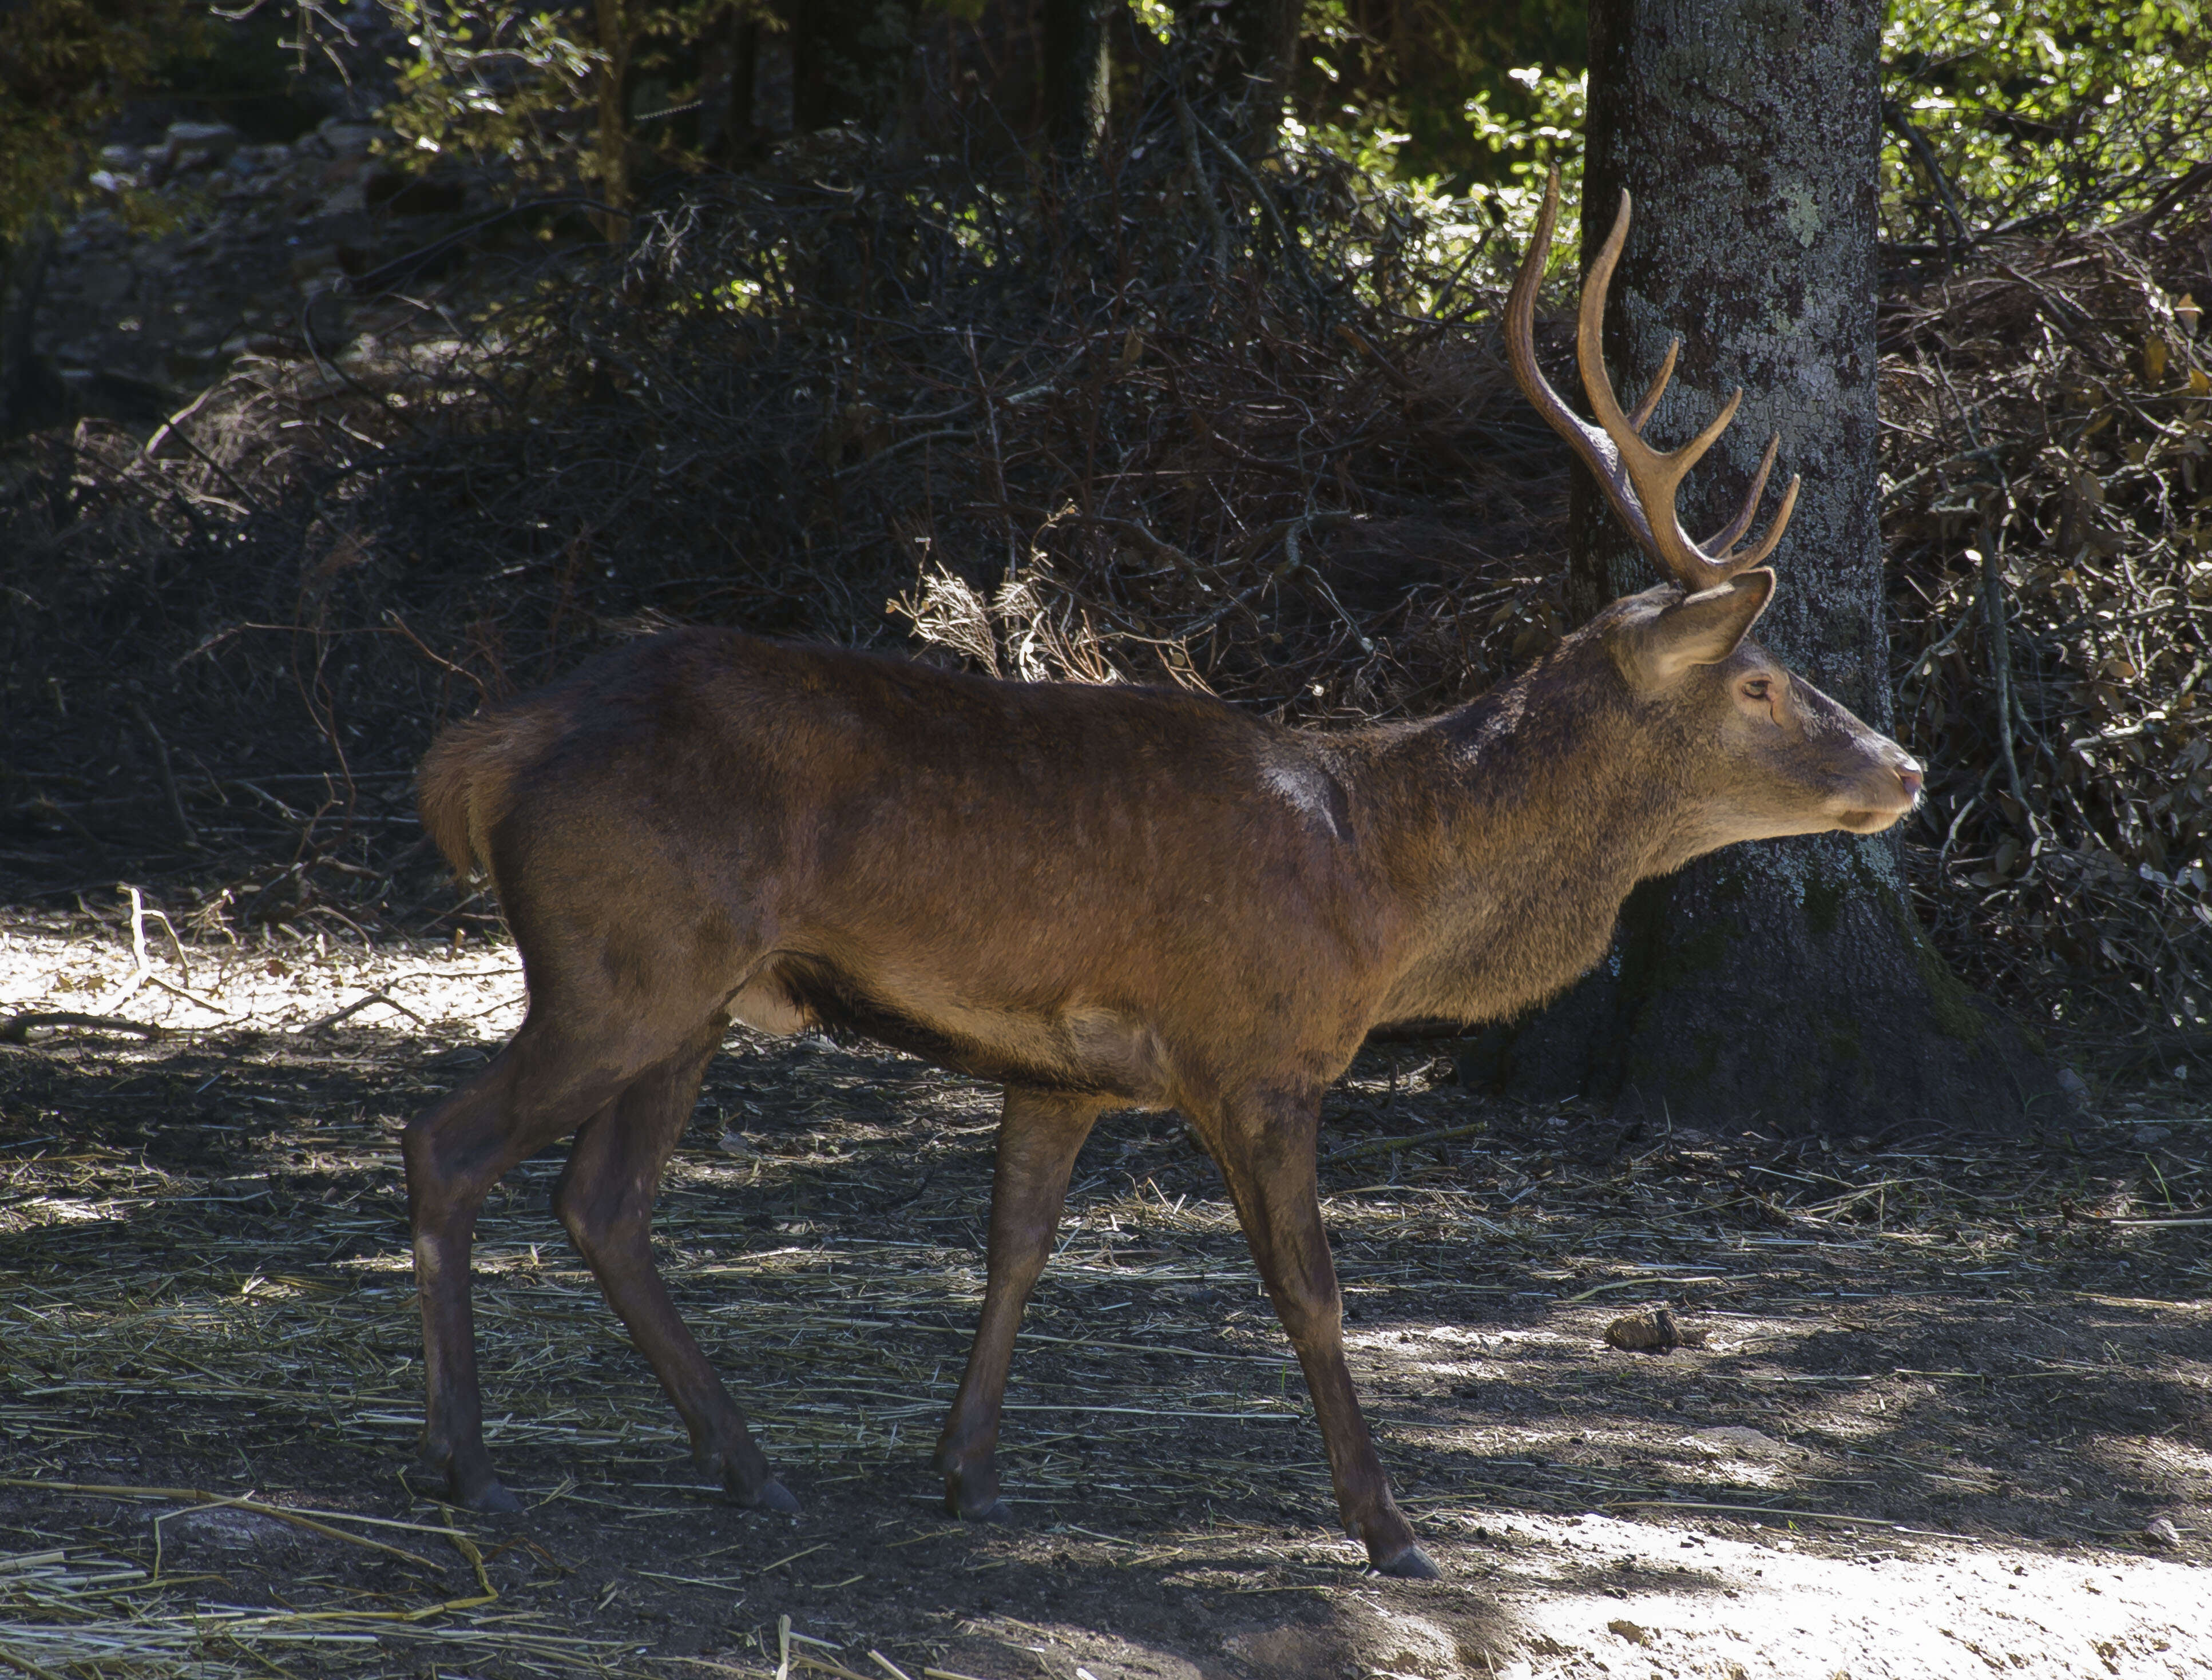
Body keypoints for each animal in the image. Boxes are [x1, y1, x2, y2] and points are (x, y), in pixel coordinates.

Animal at [402, 173, 1920, 1591]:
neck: (1382, 881)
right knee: (450, 1146)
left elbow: (1017, 1244)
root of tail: (488, 751)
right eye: (1761, 681)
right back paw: (470, 1465)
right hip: (622, 959)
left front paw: (968, 1471)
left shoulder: (1059, 1065)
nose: (1904, 768)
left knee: (603, 1201)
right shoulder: (1253, 1049)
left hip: (695, 992)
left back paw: (749, 1465)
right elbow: (1310, 1290)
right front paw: (1390, 1528)